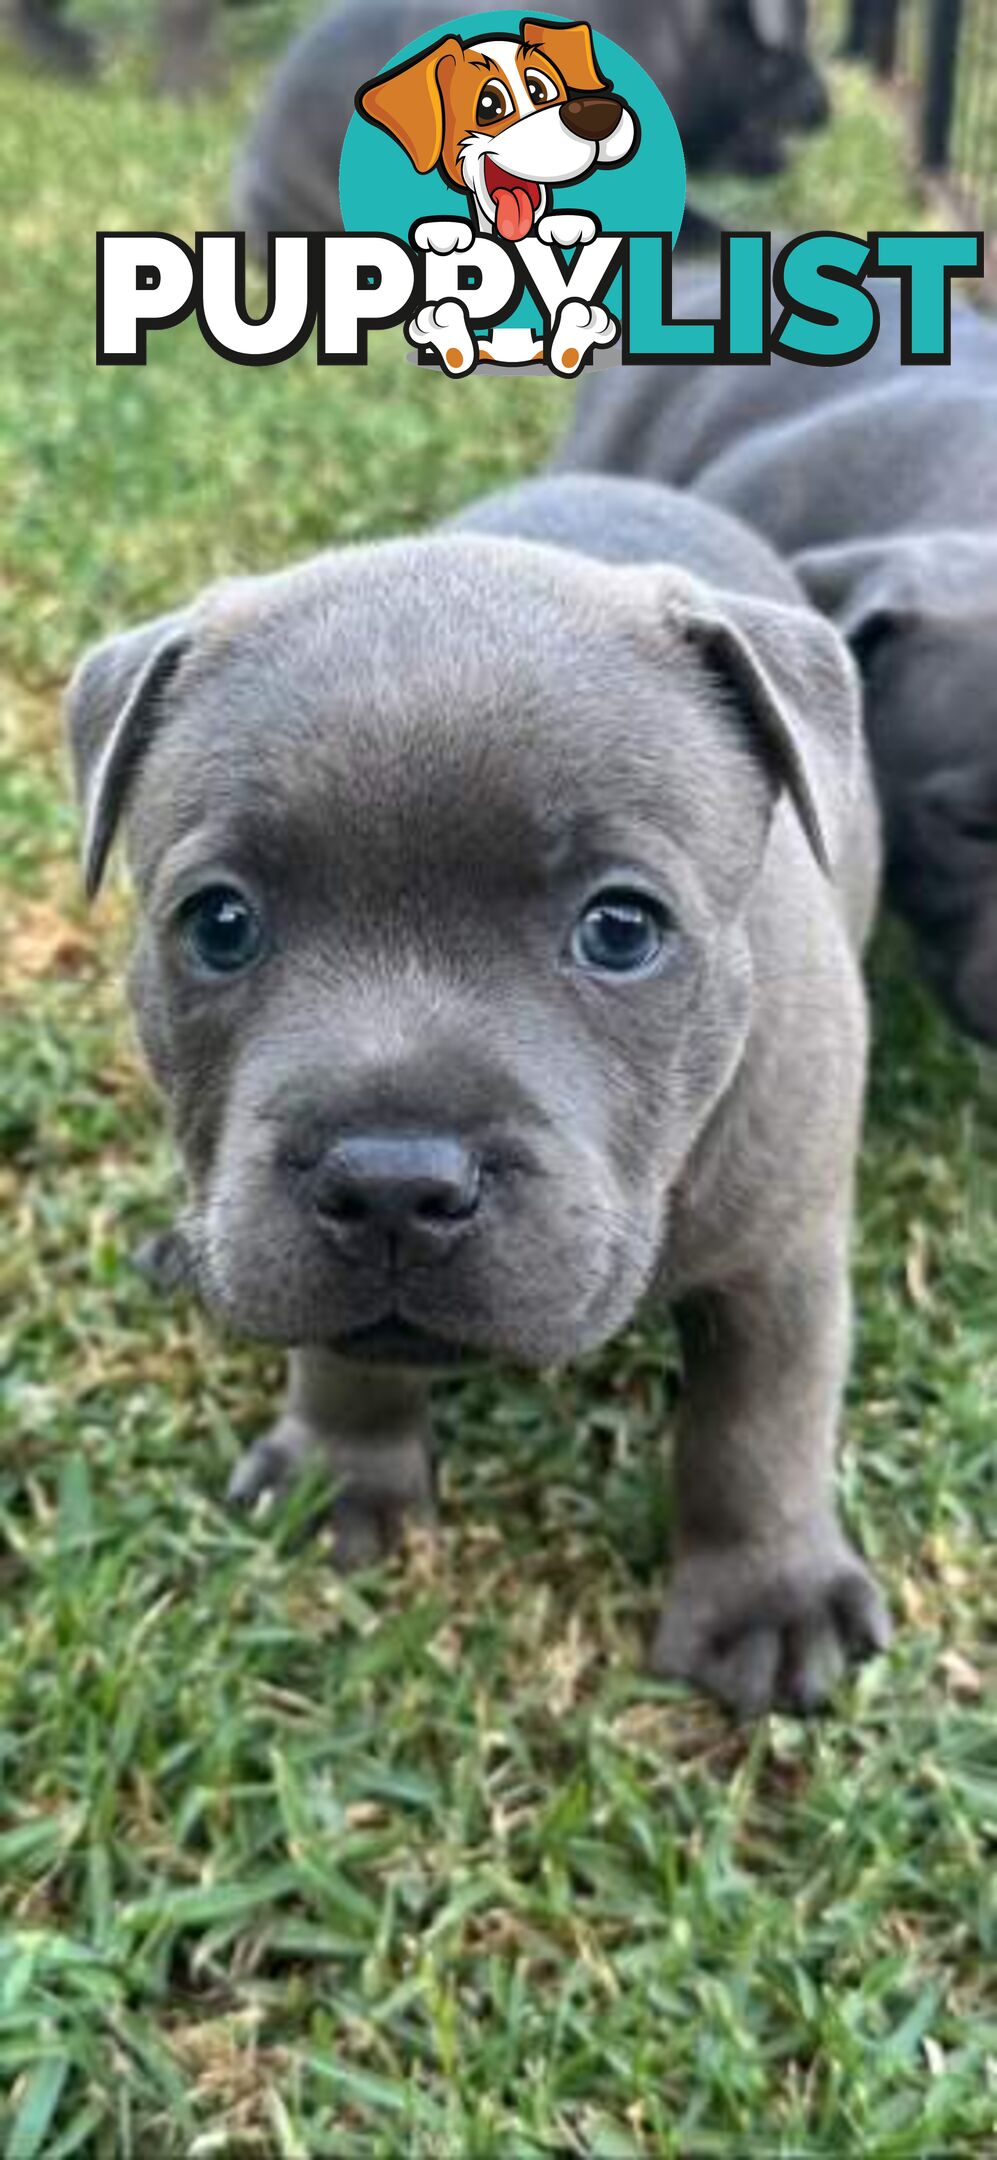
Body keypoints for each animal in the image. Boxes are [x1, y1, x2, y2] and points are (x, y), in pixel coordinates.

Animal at [64, 477, 889, 1719]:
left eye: (620, 929)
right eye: (219, 924)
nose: (390, 1185)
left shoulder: (780, 1259)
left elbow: (759, 1426)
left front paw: (767, 1599)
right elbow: (343, 1351)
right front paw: (343, 1475)